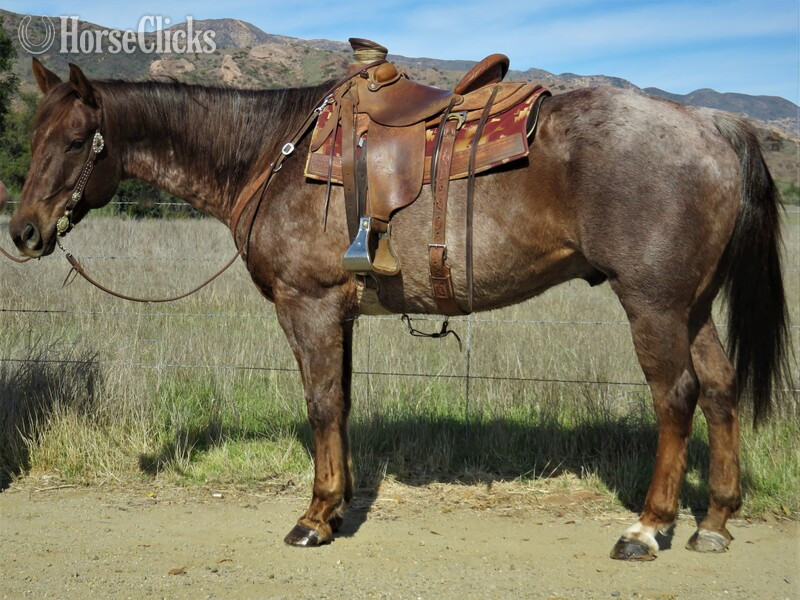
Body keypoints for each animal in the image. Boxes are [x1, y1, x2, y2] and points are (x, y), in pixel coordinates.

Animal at [9, 58, 789, 560]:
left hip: (652, 303)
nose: (23, 232)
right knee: (720, 389)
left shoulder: (309, 307)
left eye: (75, 141)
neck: (271, 154)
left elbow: (321, 404)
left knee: (677, 397)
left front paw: (315, 517)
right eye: (35, 135)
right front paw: (341, 503)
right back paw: (714, 521)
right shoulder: (341, 316)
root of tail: (713, 123)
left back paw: (647, 528)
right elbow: (343, 404)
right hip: (691, 306)